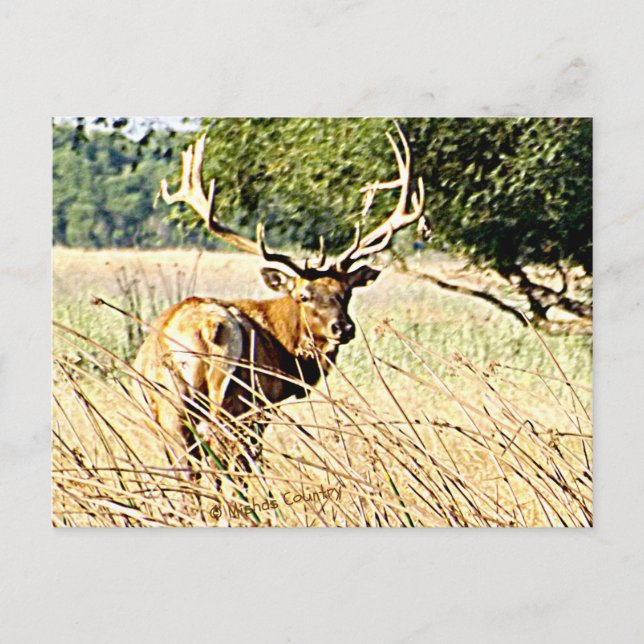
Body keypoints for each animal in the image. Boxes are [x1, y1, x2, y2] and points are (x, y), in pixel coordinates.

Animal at [131, 124, 426, 488]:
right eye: (303, 295)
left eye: (346, 292)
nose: (342, 327)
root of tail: (204, 329)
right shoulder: (264, 402)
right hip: (234, 400)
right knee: (224, 463)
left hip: (166, 404)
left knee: (188, 471)